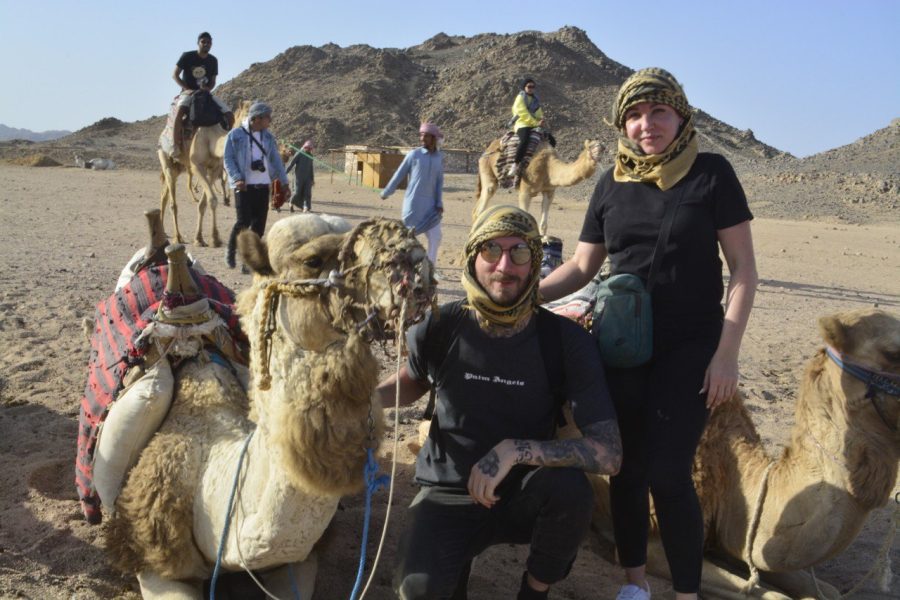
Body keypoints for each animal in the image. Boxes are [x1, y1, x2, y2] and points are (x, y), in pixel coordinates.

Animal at [158, 102, 250, 247]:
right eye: (246, 112)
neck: (212, 139)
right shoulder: (197, 166)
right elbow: (212, 199)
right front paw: (210, 238)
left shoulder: (214, 169)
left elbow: (205, 203)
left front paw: (206, 238)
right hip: (167, 163)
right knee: (173, 203)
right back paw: (177, 237)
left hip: (178, 168)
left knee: (164, 196)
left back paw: (162, 231)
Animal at [472, 138, 604, 237]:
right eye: (591, 147)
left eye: (603, 147)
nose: (599, 154)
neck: (549, 168)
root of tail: (488, 149)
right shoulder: (525, 191)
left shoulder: (549, 191)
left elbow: (544, 224)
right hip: (487, 169)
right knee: (483, 203)